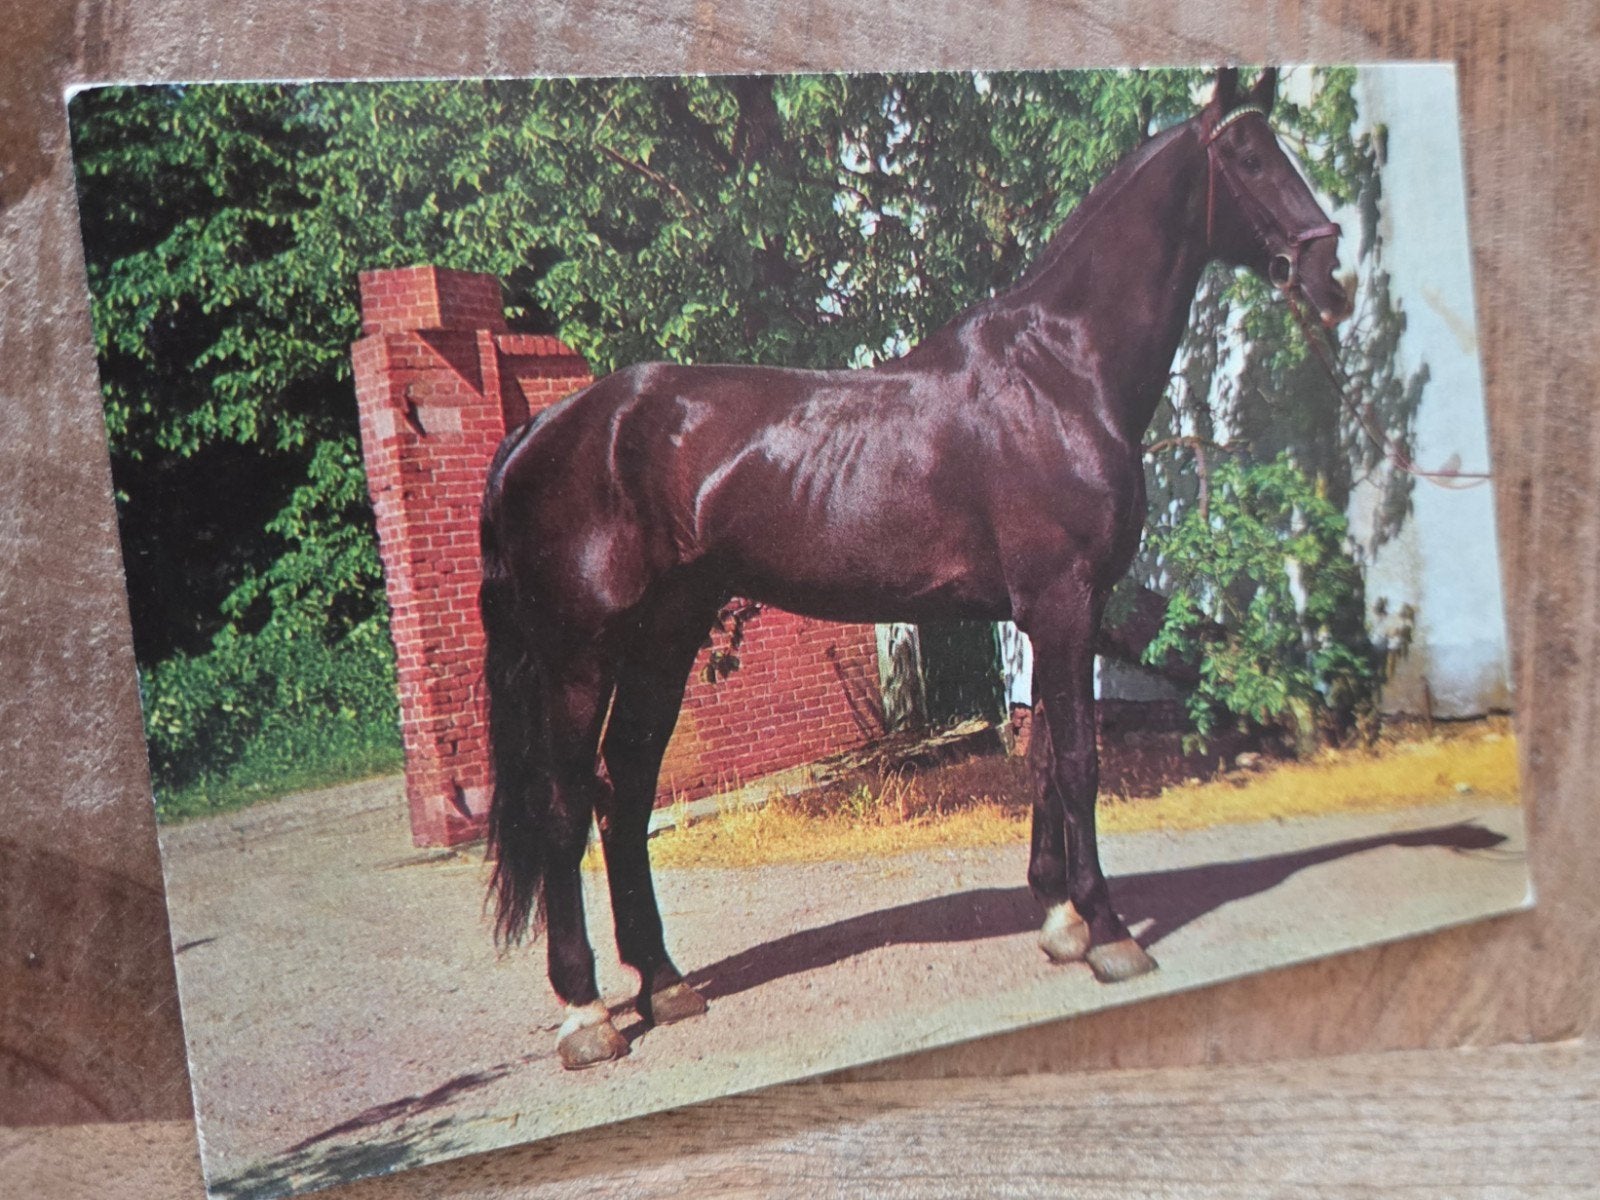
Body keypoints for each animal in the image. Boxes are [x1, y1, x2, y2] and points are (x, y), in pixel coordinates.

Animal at [479, 68, 1350, 1070]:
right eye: (1248, 157)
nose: (1331, 279)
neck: (1058, 371)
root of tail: (543, 429)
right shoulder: (1065, 601)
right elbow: (1080, 758)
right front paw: (1110, 933)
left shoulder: (1047, 610)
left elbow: (1043, 752)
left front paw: (1059, 922)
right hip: (581, 656)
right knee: (565, 806)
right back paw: (587, 1015)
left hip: (665, 637)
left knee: (625, 794)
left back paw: (664, 984)